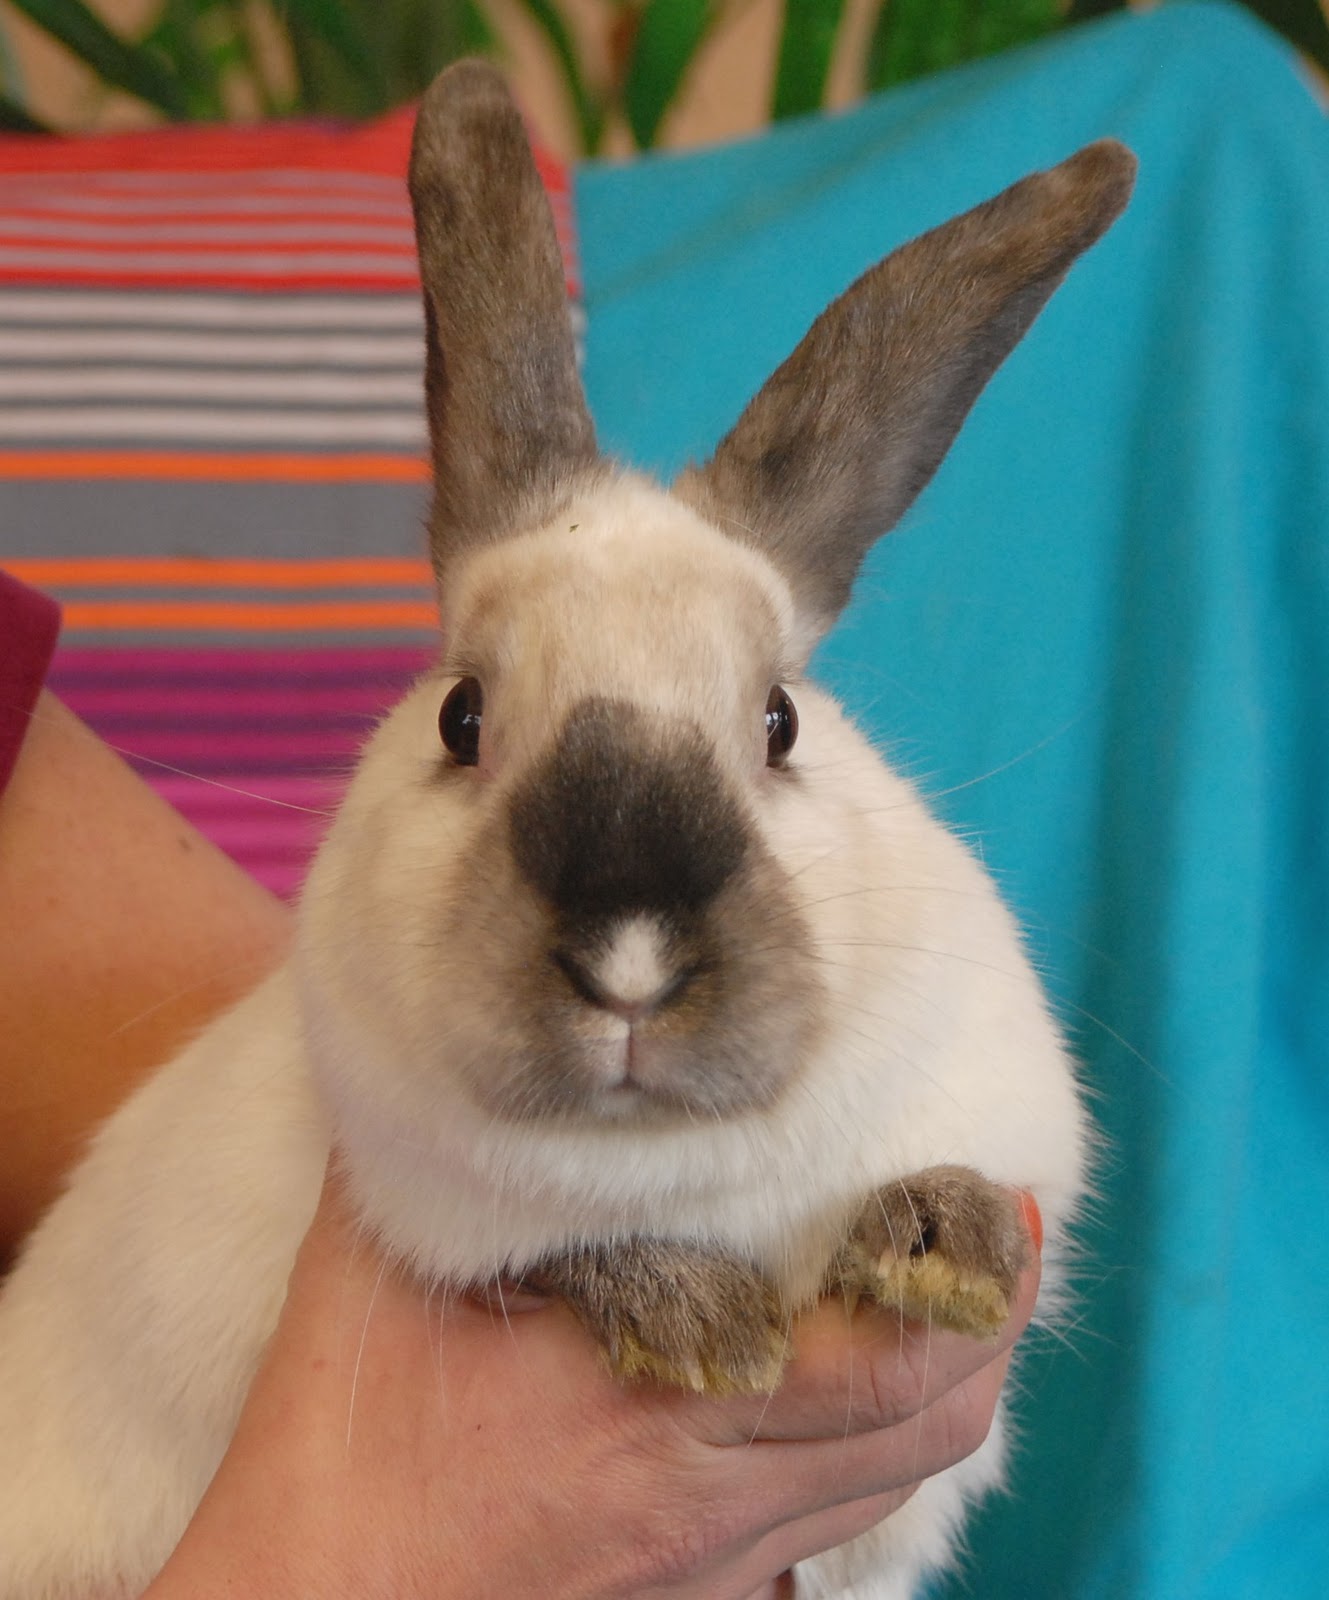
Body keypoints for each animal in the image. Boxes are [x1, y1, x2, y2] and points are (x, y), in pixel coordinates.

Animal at [0, 60, 1135, 1600]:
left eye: (780, 720)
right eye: (462, 716)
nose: (630, 961)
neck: (688, 1162)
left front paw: (943, 1245)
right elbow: (570, 1258)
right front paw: (703, 1323)